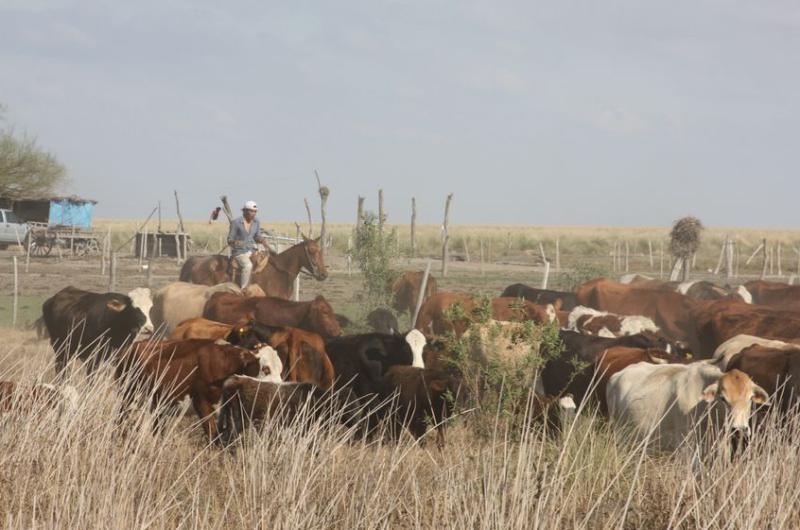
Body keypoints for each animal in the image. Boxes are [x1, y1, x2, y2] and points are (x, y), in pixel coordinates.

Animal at [114, 338, 274, 438]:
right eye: (265, 369)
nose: (277, 386)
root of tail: (127, 349)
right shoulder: (201, 402)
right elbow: (213, 435)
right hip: (130, 398)